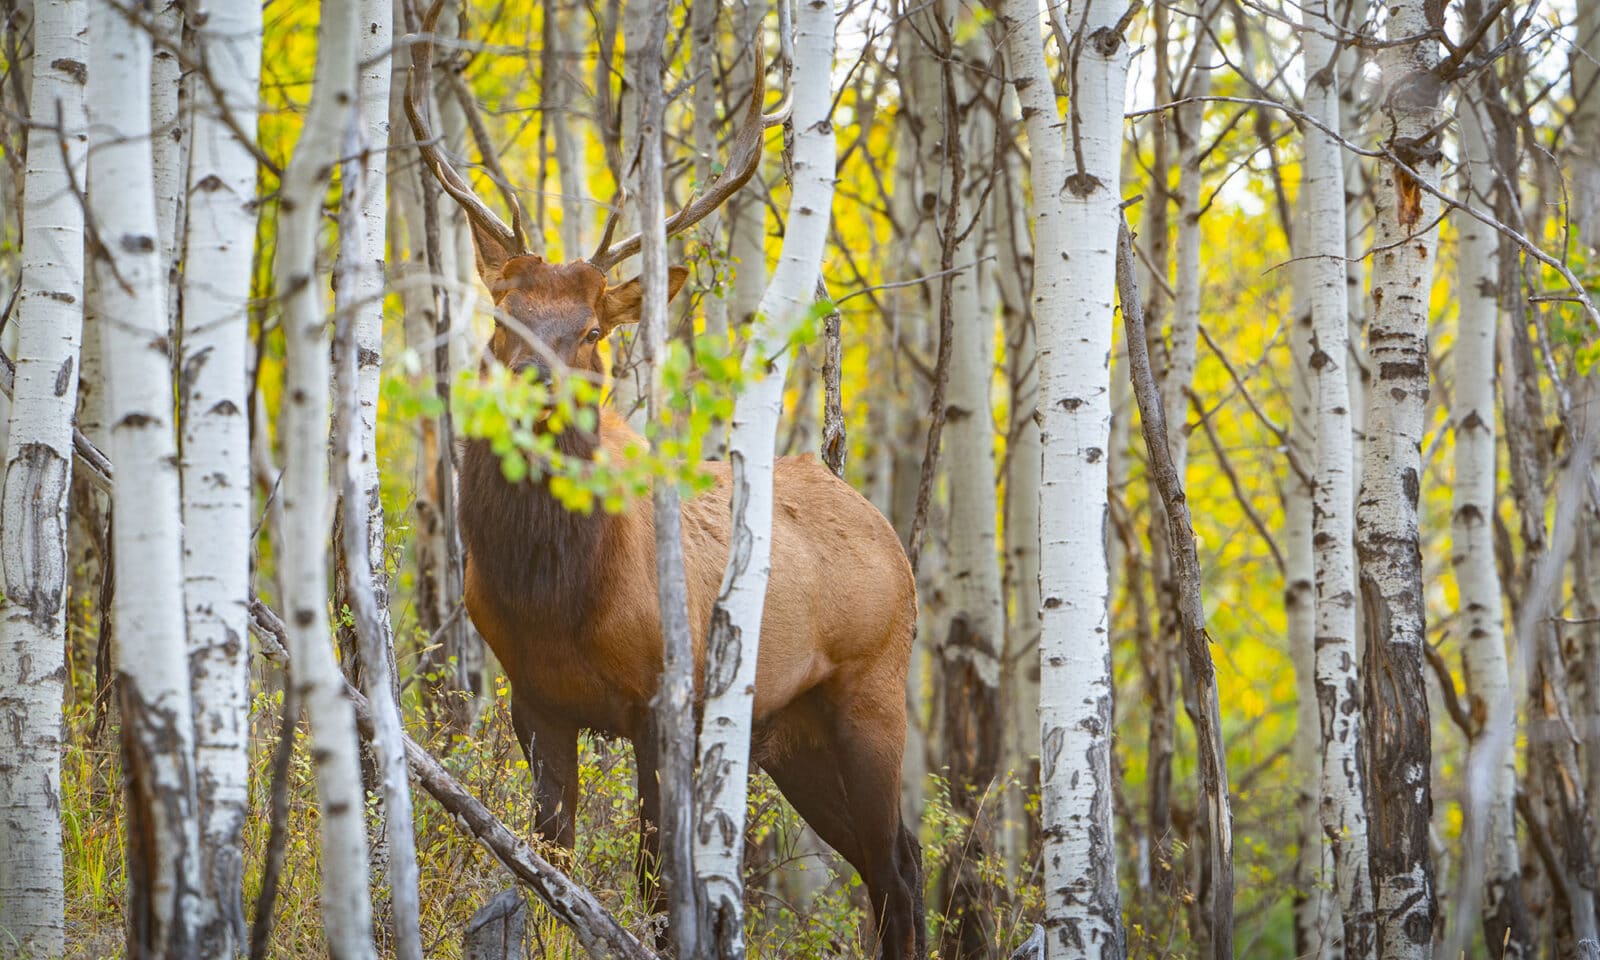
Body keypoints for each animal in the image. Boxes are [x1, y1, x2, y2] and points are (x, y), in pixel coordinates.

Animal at [403, 3, 928, 953]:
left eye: (589, 330)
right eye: (504, 315)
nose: (533, 387)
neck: (556, 596)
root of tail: (886, 531)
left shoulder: (663, 701)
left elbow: (654, 884)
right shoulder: (534, 700)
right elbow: (550, 869)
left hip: (871, 688)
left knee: (897, 867)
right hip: (788, 732)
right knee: (892, 859)